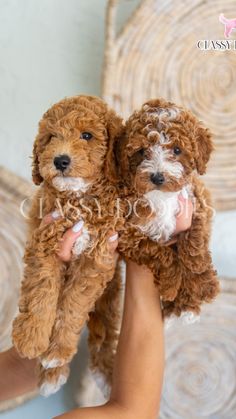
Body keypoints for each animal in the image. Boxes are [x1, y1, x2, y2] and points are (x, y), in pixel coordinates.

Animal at [12, 95, 123, 398]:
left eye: (86, 135)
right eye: (51, 137)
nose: (60, 160)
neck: (79, 199)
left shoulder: (96, 261)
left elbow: (71, 308)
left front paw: (57, 352)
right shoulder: (45, 243)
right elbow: (42, 292)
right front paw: (31, 338)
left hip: (111, 294)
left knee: (105, 331)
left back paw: (102, 373)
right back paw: (51, 374)